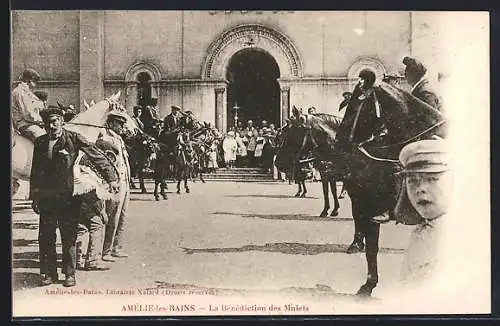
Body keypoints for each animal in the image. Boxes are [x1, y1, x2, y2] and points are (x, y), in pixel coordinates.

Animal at [278, 81, 446, 296]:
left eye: (292, 132)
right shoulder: (349, 189)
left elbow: (370, 245)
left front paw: (368, 281)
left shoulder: (366, 204)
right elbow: (339, 201)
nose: (279, 162)